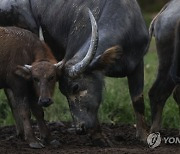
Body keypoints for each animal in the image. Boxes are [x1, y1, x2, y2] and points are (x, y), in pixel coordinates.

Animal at [0, 0, 149, 144]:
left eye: (75, 87)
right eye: (63, 92)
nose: (79, 128)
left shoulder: (138, 63)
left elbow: (137, 100)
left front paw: (143, 136)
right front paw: (98, 137)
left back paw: (22, 133)